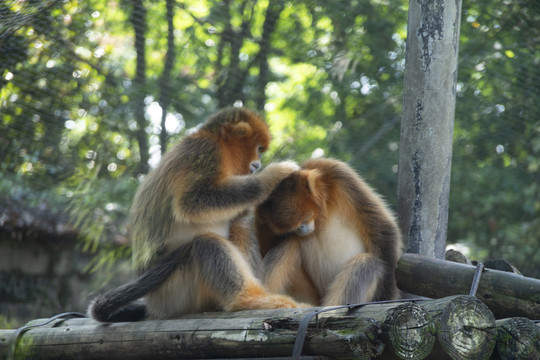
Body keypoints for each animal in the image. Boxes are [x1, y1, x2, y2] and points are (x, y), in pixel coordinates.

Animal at [90, 106, 306, 320]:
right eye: (259, 149)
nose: (257, 164)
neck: (218, 142)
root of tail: (154, 307)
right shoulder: (205, 151)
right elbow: (191, 202)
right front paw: (272, 176)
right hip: (175, 291)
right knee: (207, 242)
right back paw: (248, 300)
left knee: (238, 224)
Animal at [255, 158, 402, 306]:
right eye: (293, 227)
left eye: (305, 219)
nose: (301, 229)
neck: (320, 217)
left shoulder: (335, 172)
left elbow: (383, 230)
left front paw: (385, 297)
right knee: (290, 240)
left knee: (367, 263)